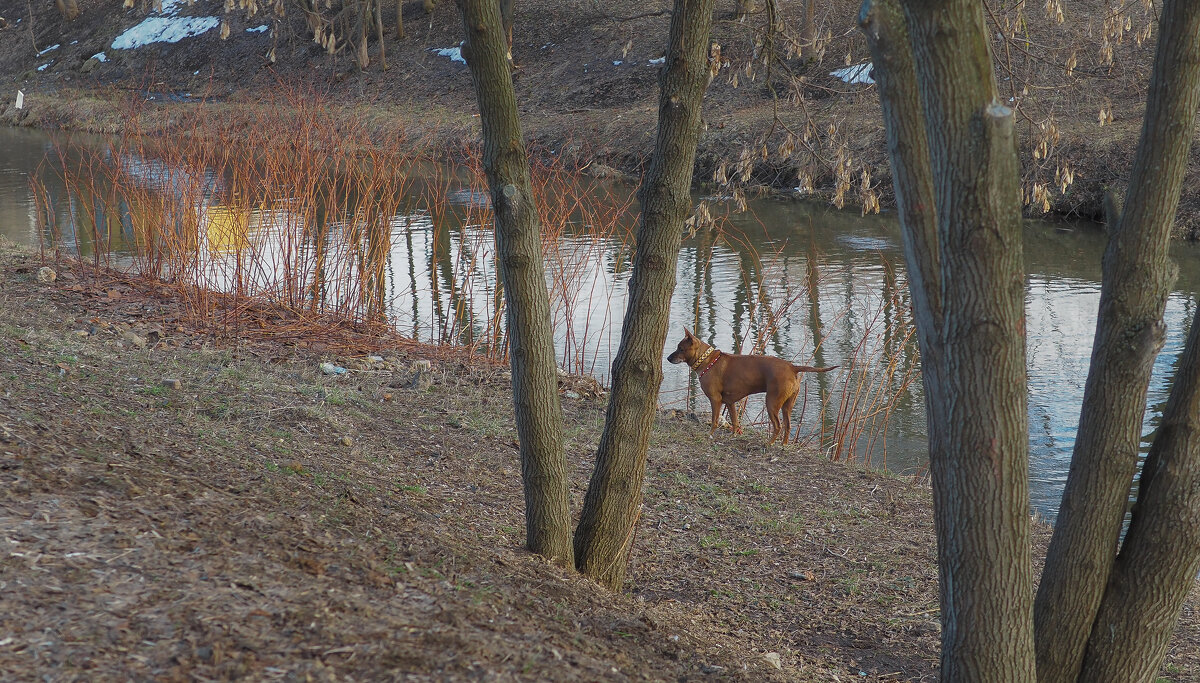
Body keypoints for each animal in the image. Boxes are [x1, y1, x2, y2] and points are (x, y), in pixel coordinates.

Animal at [667, 326, 844, 444]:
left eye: (680, 349)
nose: (668, 358)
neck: (707, 361)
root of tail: (792, 367)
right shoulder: (730, 402)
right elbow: (735, 421)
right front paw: (733, 435)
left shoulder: (715, 400)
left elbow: (715, 420)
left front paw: (710, 435)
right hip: (787, 405)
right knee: (787, 425)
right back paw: (783, 445)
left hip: (771, 402)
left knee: (778, 426)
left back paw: (770, 444)